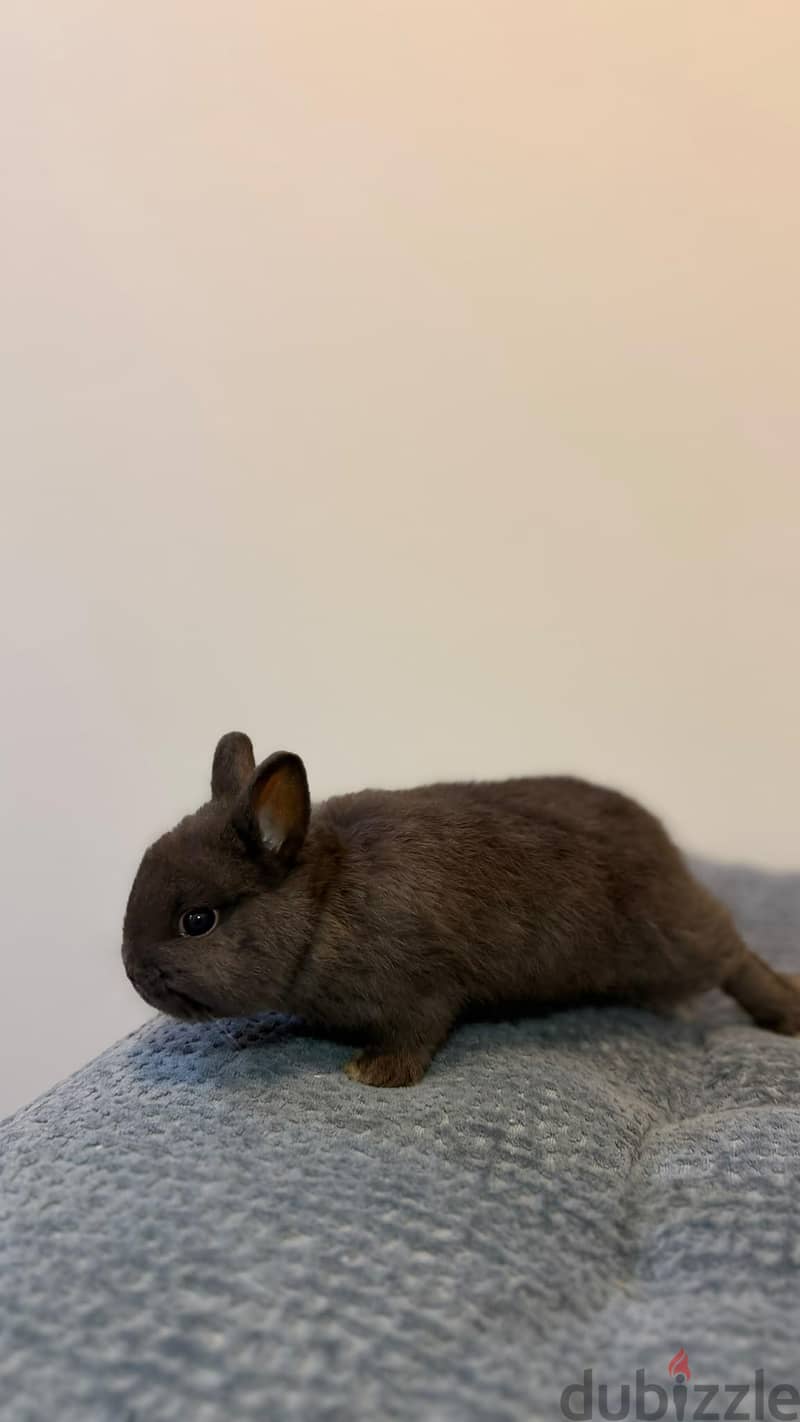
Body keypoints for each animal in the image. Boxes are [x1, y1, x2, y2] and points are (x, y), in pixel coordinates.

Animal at [122, 731, 800, 1087]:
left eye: (197, 921)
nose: (134, 972)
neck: (322, 906)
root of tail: (664, 844)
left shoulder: (420, 989)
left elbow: (417, 1033)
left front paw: (373, 1073)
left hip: (672, 940)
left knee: (735, 955)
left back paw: (786, 1011)